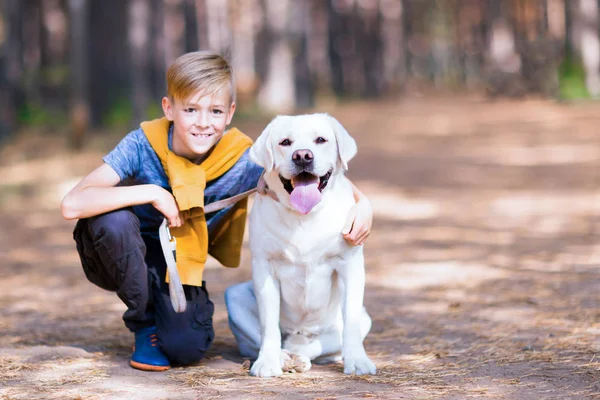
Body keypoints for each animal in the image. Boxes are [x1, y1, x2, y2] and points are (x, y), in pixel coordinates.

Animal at [243, 114, 376, 376]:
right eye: (285, 142)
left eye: (321, 140)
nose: (303, 156)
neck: (304, 216)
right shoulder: (264, 267)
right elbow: (268, 325)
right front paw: (267, 362)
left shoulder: (351, 266)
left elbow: (351, 323)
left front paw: (358, 361)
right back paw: (286, 358)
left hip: (361, 319)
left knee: (321, 345)